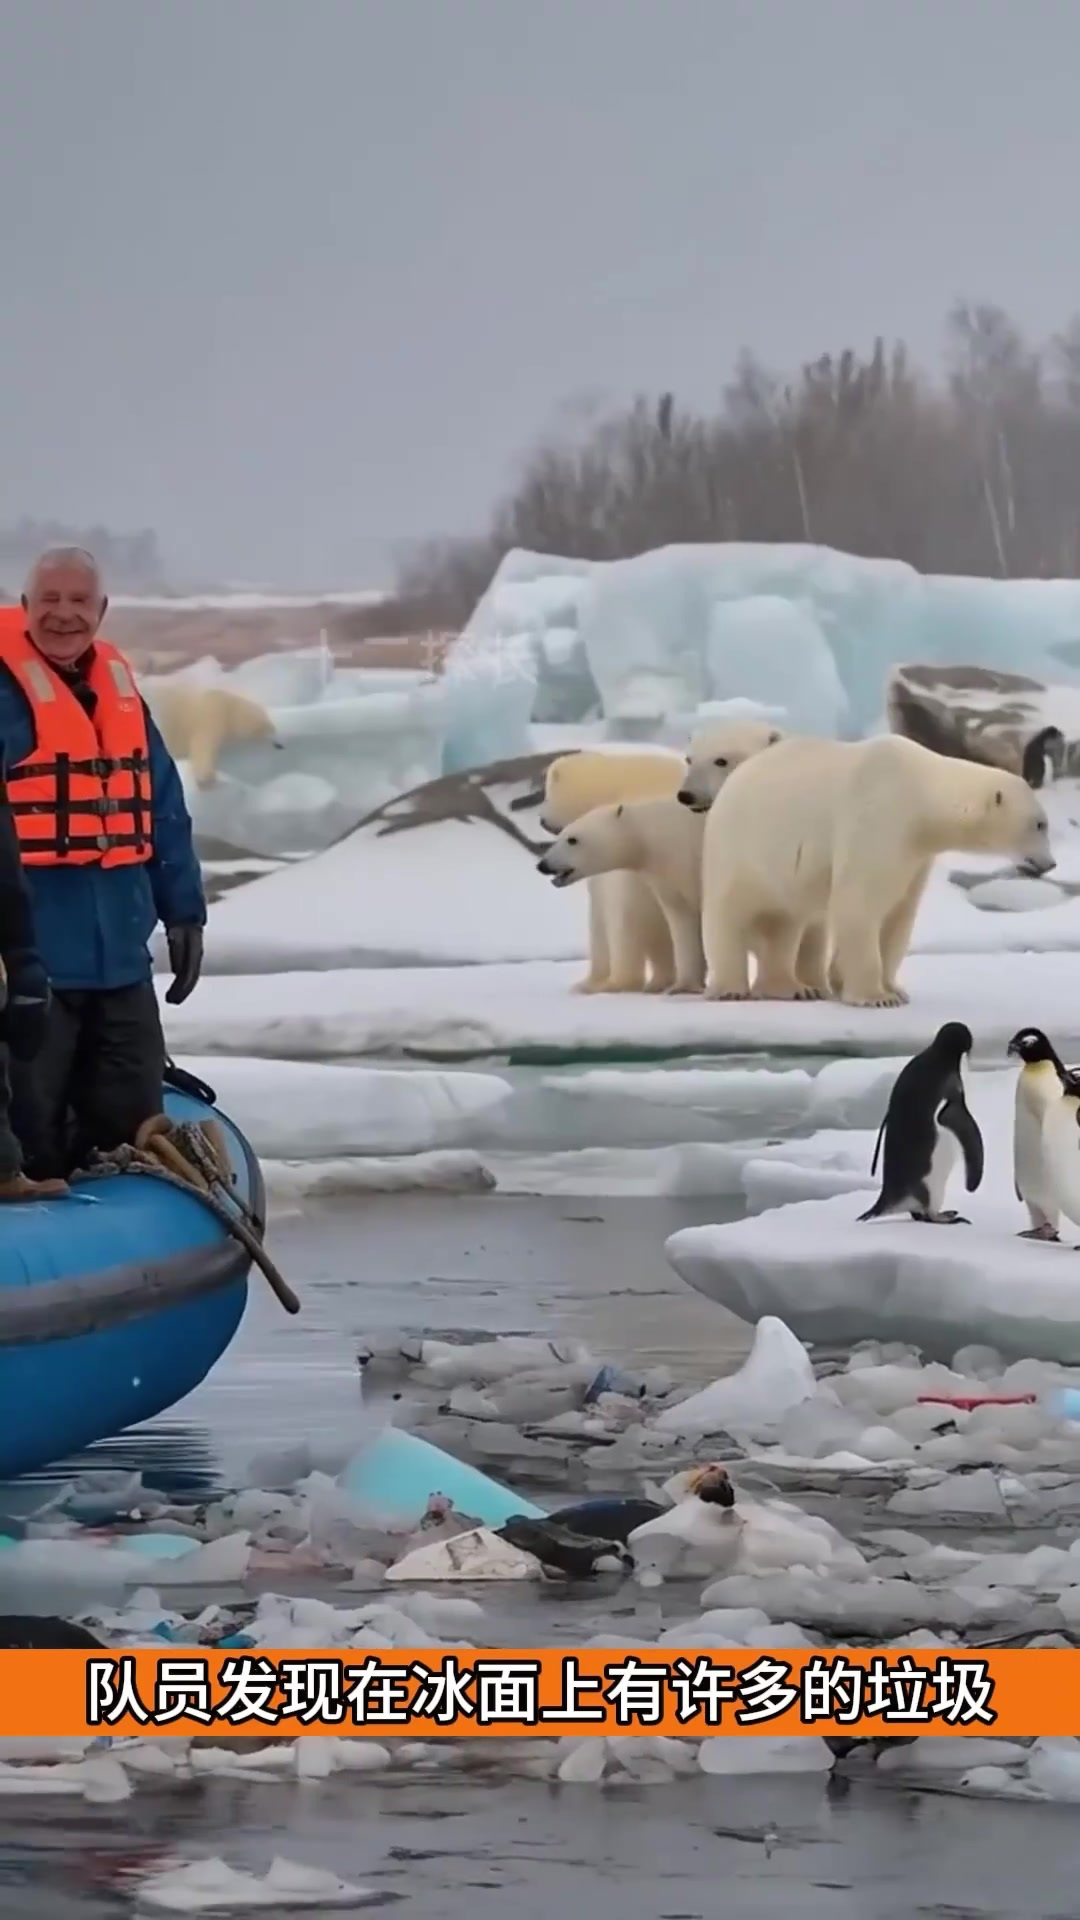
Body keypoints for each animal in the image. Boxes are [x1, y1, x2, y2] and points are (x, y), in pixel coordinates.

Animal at [701, 733, 1055, 1009]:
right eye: (1039, 823)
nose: (1050, 862)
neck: (919, 790)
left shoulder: (916, 853)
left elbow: (900, 912)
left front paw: (895, 988)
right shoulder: (877, 816)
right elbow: (860, 902)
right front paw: (876, 997)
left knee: (784, 921)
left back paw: (794, 988)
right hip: (740, 848)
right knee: (729, 911)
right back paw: (731, 989)